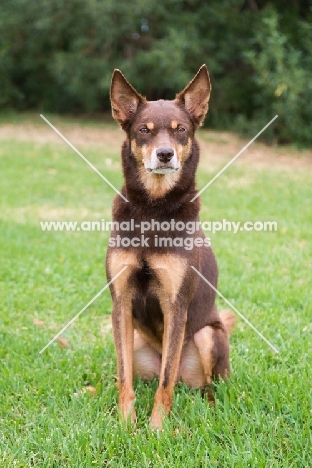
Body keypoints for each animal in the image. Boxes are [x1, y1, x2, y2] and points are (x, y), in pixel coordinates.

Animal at [105, 66, 234, 432]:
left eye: (181, 131)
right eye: (143, 131)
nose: (165, 154)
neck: (153, 209)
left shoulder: (176, 305)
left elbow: (165, 384)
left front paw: (157, 430)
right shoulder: (120, 302)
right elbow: (124, 377)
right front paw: (126, 424)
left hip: (206, 336)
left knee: (201, 384)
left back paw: (211, 410)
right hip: (134, 339)